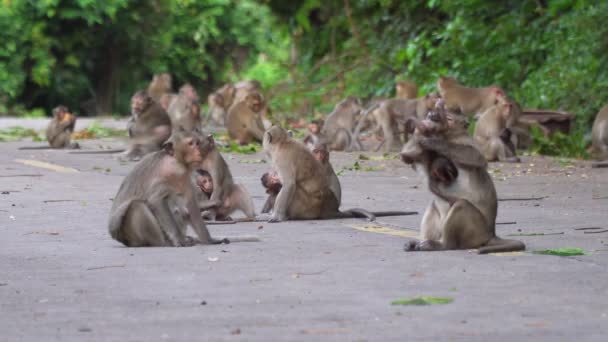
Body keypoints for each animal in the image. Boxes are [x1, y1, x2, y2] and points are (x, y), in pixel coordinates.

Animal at [262, 125, 418, 222]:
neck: (283, 143)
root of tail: (322, 211)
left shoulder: (281, 160)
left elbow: (288, 185)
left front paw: (277, 216)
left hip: (304, 207)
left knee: (293, 188)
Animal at [402, 101, 524, 254]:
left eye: (449, 119)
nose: (433, 115)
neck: (447, 136)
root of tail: (491, 234)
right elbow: (408, 157)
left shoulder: (464, 140)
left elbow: (476, 157)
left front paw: (434, 142)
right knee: (434, 204)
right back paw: (419, 243)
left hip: (476, 232)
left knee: (461, 205)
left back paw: (443, 245)